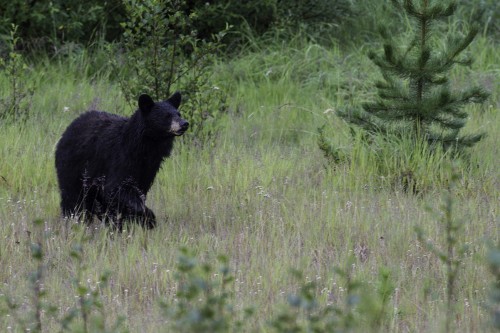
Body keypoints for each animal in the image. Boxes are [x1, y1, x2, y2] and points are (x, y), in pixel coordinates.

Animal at [54, 92, 188, 228]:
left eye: (178, 114)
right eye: (167, 116)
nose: (184, 123)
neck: (143, 148)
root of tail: (69, 128)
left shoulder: (148, 169)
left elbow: (137, 191)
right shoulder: (120, 159)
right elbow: (116, 188)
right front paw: (148, 218)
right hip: (74, 166)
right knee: (73, 196)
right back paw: (75, 219)